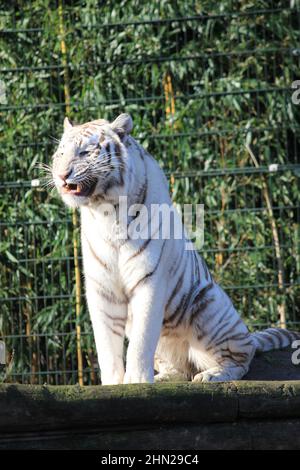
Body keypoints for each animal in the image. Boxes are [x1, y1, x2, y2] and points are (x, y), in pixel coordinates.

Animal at [51, 112, 300, 384]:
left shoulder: (148, 280)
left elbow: (141, 341)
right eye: (60, 154)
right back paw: (164, 377)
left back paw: (212, 374)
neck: (104, 210)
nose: (61, 175)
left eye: (85, 152)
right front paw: (114, 384)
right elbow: (106, 345)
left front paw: (136, 382)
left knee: (241, 359)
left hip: (209, 307)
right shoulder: (102, 289)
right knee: (179, 367)